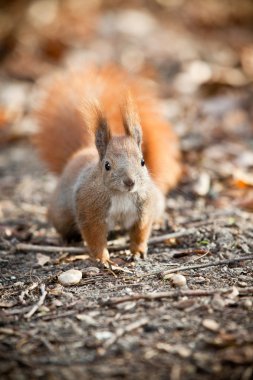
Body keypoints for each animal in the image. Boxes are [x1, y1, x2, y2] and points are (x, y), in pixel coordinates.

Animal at [33, 65, 181, 264]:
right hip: (61, 213)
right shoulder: (90, 211)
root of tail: (81, 152)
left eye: (143, 162)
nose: (130, 182)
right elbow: (94, 238)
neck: (121, 195)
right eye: (107, 165)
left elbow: (140, 232)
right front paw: (102, 258)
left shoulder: (144, 208)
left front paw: (138, 251)